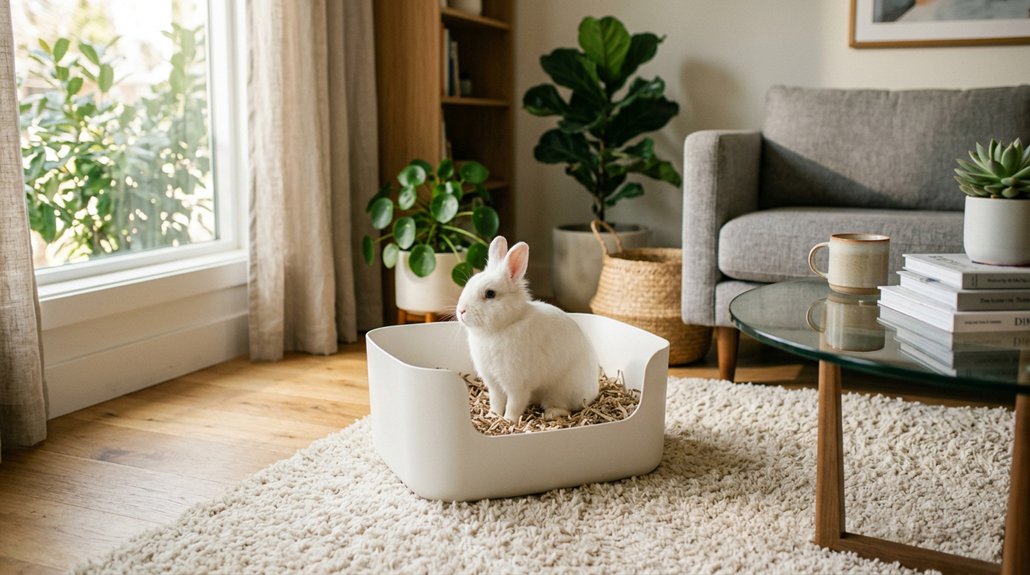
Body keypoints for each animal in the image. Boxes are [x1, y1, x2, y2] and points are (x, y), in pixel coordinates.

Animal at [456, 236, 600, 421]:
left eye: (490, 294)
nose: (461, 311)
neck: (504, 326)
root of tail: (593, 392)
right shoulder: (494, 383)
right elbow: (496, 401)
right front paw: (492, 416)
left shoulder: (517, 384)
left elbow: (514, 404)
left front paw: (509, 421)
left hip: (560, 392)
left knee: (566, 408)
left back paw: (551, 414)